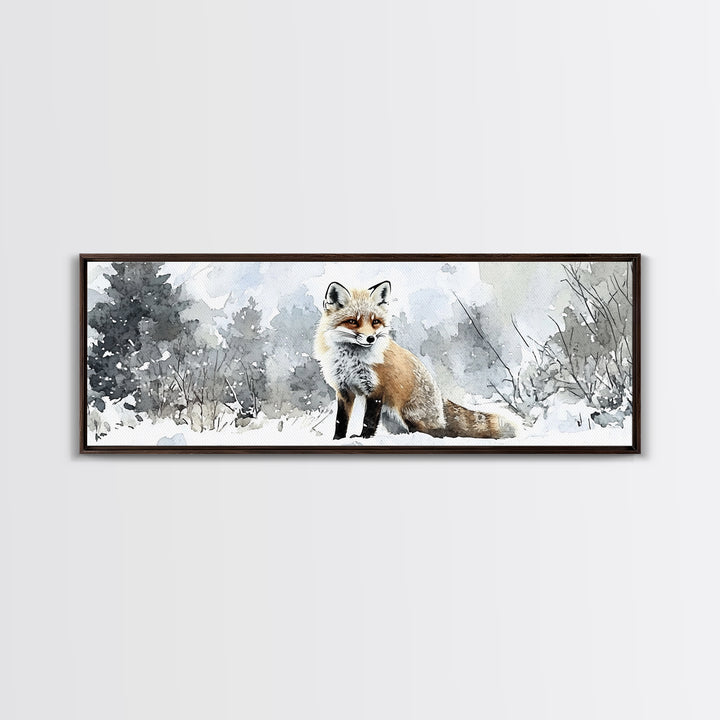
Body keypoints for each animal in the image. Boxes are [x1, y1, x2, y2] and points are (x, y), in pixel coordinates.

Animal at [313, 280, 517, 441]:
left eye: (375, 322)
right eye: (353, 322)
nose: (370, 338)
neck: (351, 360)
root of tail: (440, 398)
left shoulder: (376, 389)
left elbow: (368, 421)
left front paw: (364, 438)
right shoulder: (343, 389)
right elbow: (340, 420)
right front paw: (337, 439)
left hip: (408, 414)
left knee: (437, 433)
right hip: (391, 420)